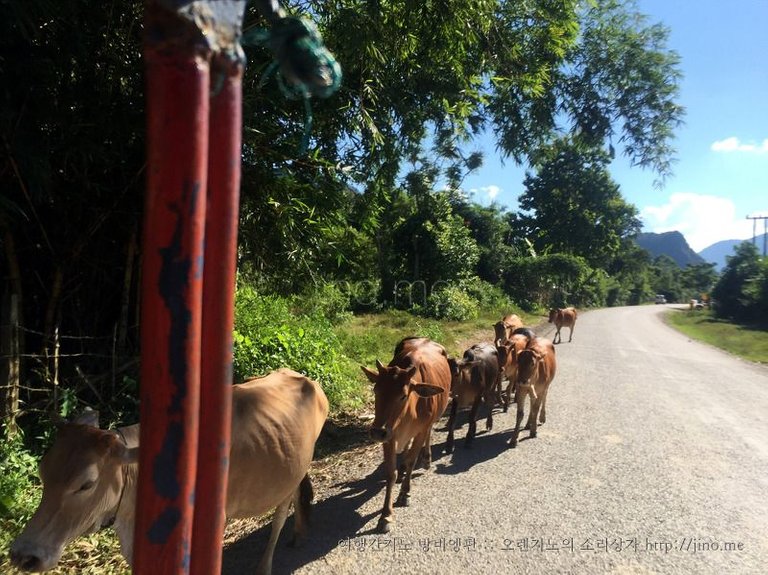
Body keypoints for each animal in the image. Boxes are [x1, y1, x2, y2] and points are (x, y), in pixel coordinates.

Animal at [360, 338, 450, 536]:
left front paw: (405, 493)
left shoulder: (419, 430)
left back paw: (426, 459)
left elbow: (411, 461)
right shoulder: (389, 436)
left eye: (403, 396)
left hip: (430, 422)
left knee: (428, 435)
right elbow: (390, 473)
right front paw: (386, 516)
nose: (376, 432)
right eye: (376, 391)